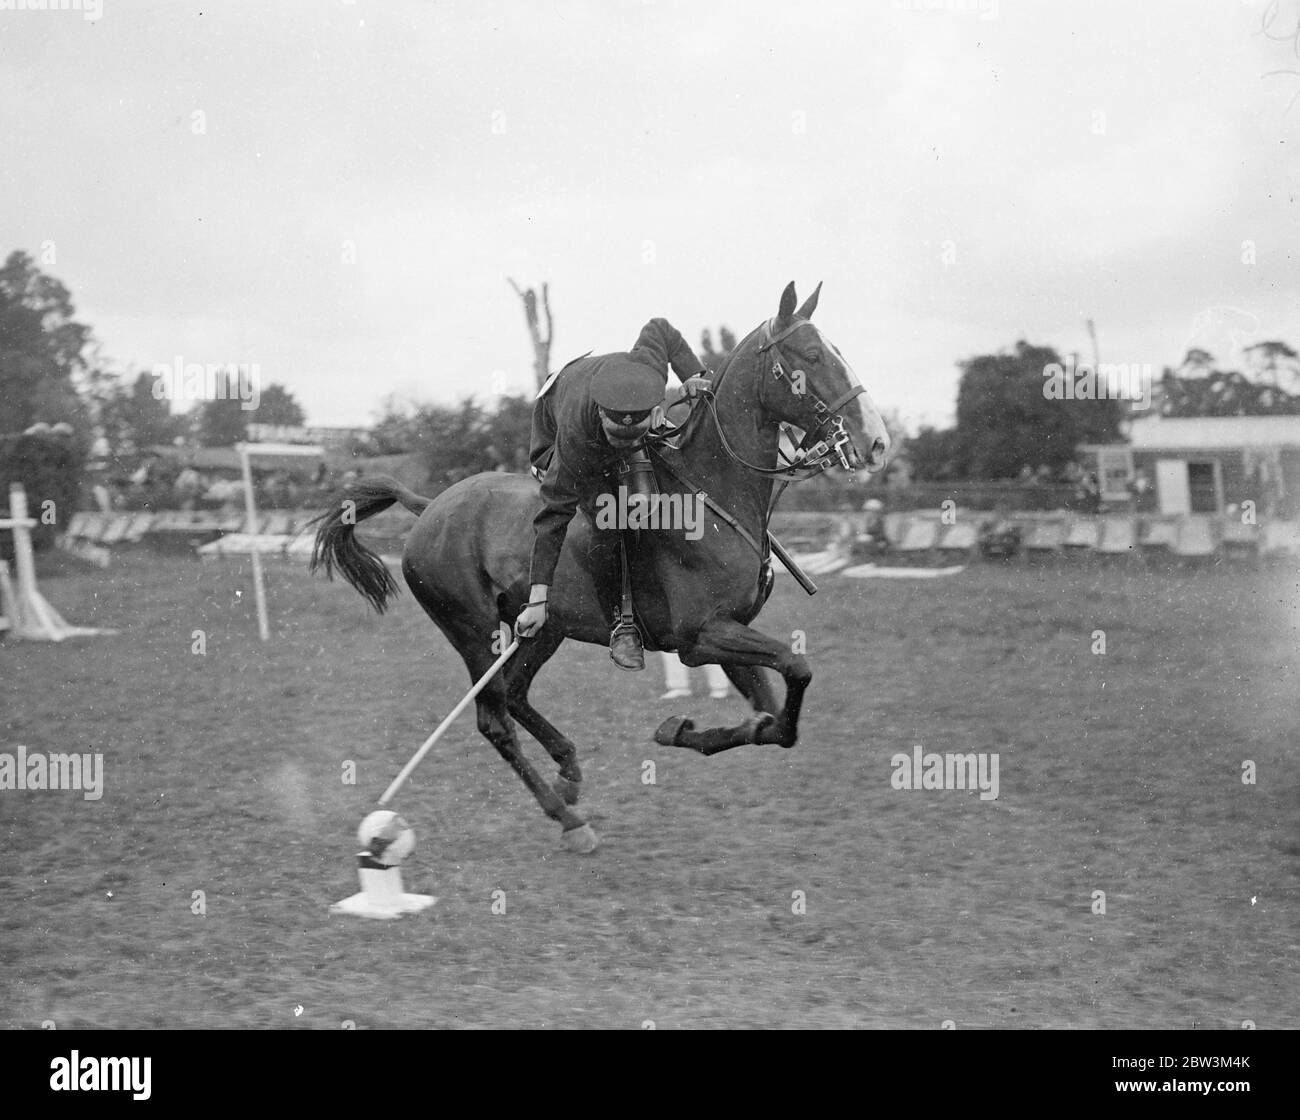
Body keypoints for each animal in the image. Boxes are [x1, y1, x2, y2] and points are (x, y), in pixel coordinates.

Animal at [309, 280, 889, 852]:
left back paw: (569, 772)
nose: (876, 442)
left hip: (541, 628)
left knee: (515, 694)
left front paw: (681, 730)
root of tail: (428, 508)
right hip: (473, 632)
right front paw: (677, 728)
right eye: (811, 356)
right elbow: (795, 670)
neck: (711, 495)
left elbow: (770, 720)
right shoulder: (701, 636)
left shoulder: (731, 630)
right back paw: (567, 817)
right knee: (494, 719)